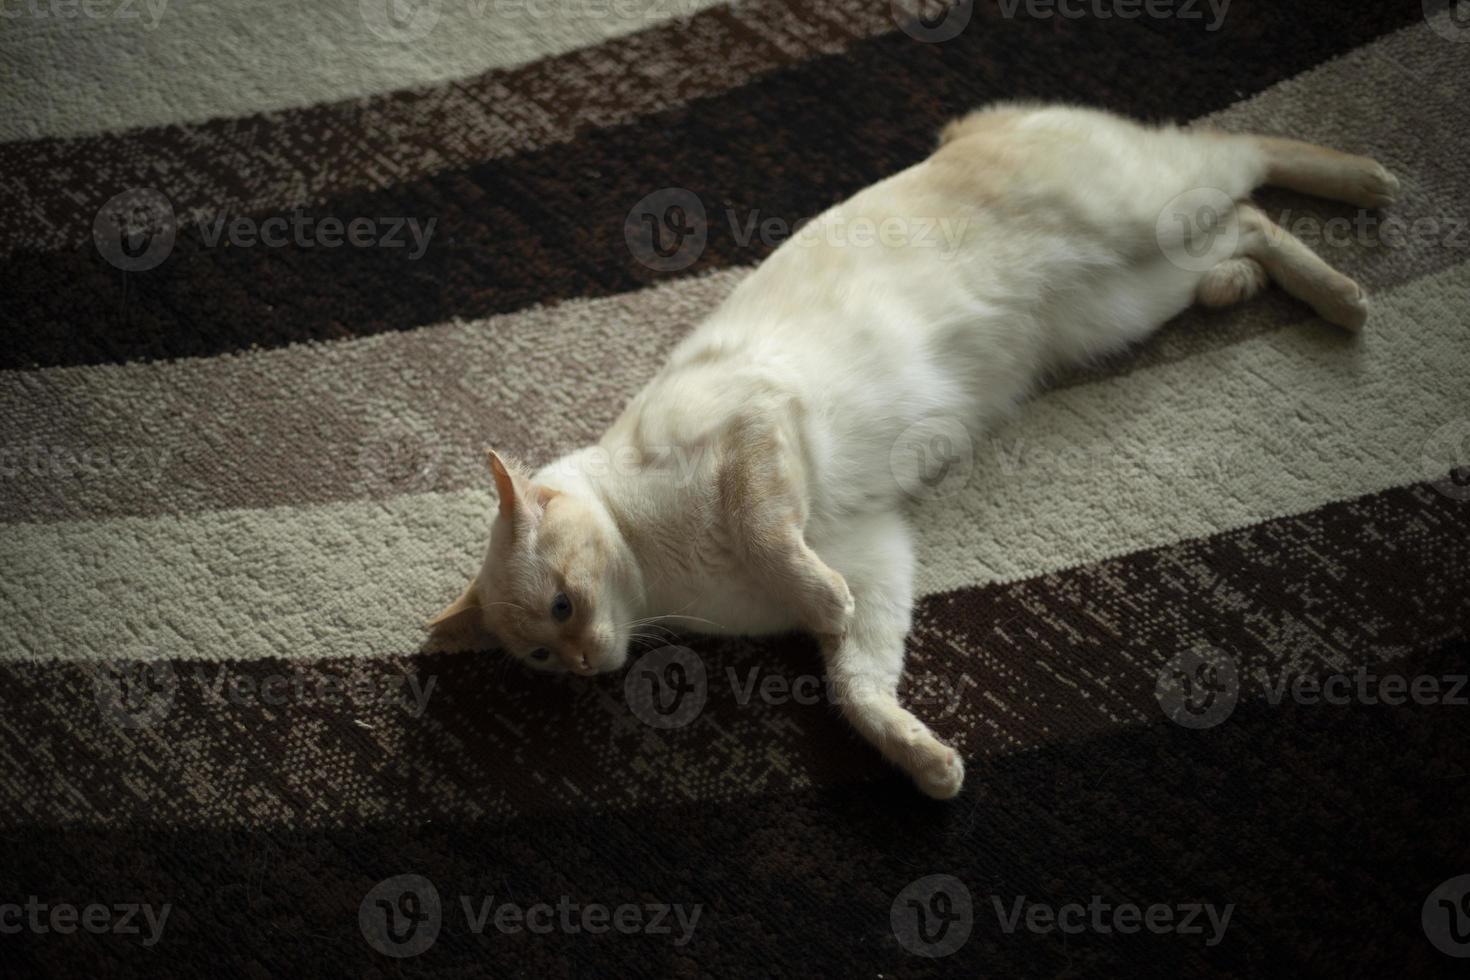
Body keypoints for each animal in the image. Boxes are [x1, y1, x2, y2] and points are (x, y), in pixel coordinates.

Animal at [429, 103, 1399, 799]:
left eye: (561, 608)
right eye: (540, 659)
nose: (583, 666)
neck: (670, 580)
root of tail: (969, 128)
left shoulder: (762, 438)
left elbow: (779, 548)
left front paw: (824, 607)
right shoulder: (876, 554)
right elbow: (858, 683)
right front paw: (928, 763)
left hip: (1143, 217)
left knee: (1240, 155)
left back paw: (1362, 218)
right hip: (1130, 298)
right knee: (1245, 225)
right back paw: (1255, 287)